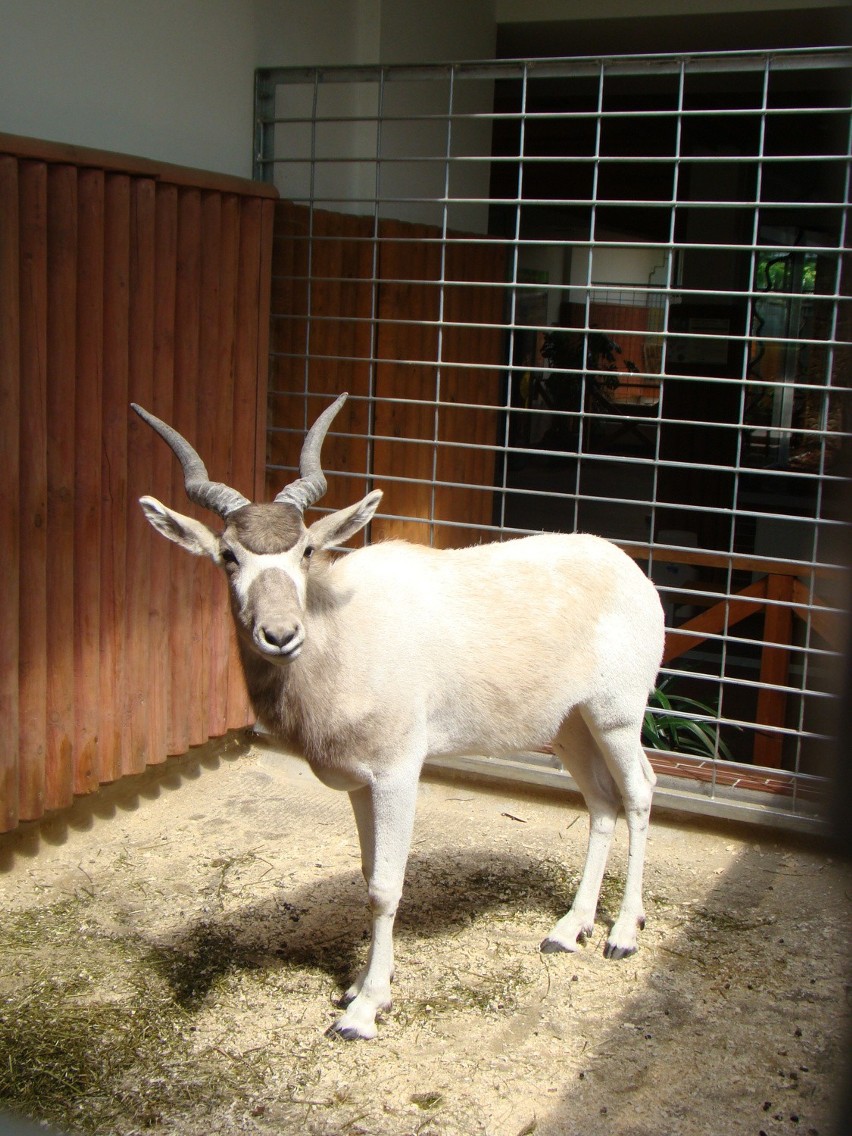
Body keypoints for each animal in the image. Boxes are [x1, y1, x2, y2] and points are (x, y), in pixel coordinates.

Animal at [133, 395, 667, 1040]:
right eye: (228, 556)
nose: (280, 635)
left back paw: (623, 933)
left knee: (638, 791)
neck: (341, 629)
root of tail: (630, 570)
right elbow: (367, 877)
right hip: (569, 727)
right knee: (602, 801)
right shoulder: (361, 784)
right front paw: (358, 985)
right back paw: (570, 929)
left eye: (305, 550)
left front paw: (366, 1008)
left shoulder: (396, 774)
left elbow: (386, 888)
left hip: (616, 717)